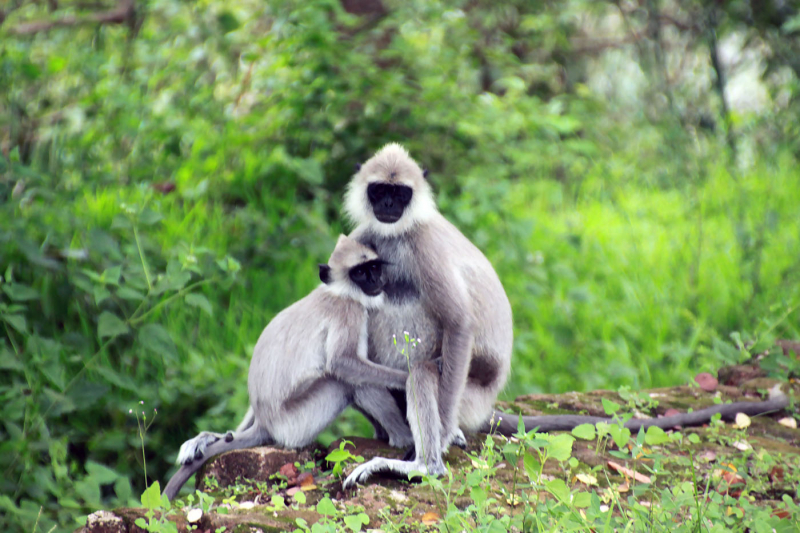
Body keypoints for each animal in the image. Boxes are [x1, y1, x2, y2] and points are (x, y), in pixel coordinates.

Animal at [340, 143, 792, 488]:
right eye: (379, 190)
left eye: (400, 194)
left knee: (422, 368)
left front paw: (445, 437)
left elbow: (459, 324)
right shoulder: (365, 237)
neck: (394, 236)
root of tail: (485, 406)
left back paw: (422, 464)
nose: (387, 205)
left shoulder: (424, 244)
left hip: (469, 389)